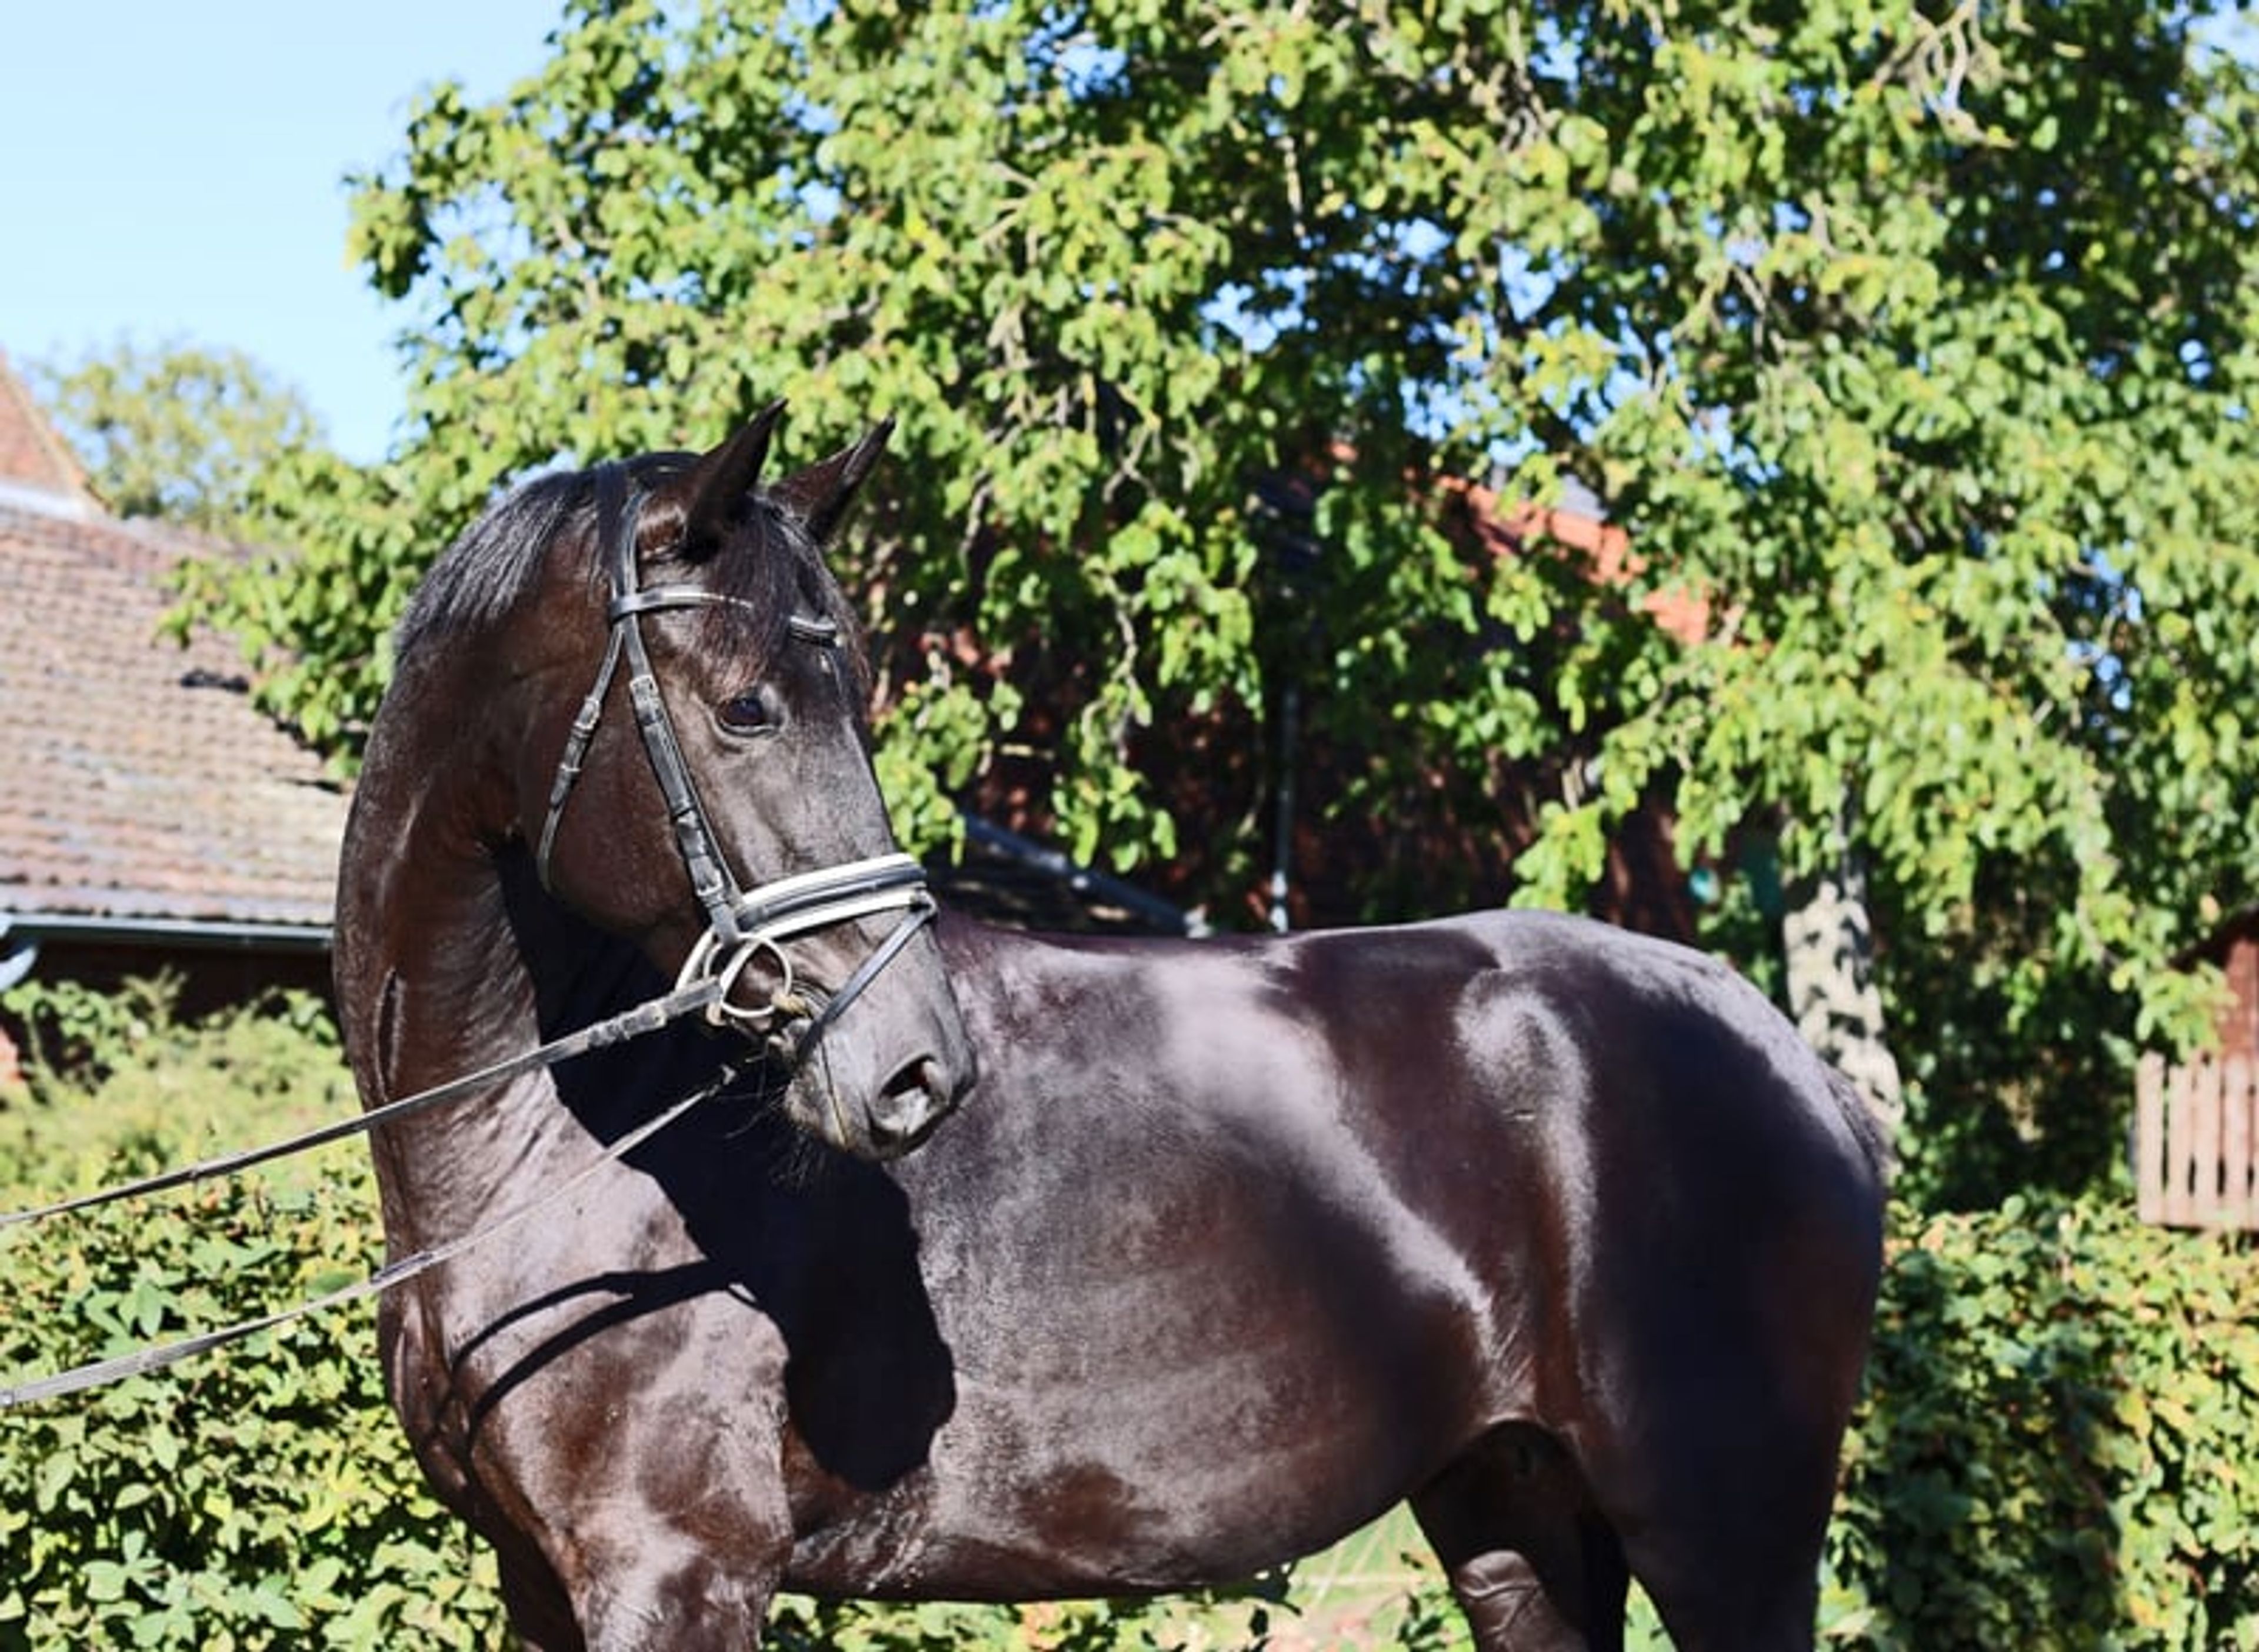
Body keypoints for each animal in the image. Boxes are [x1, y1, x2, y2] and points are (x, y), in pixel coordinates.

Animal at [333, 407, 1891, 1652]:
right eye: (750, 707)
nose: (915, 1066)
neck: (553, 1153)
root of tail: (1792, 1064)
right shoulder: (544, 1581)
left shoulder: (675, 1573)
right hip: (1513, 1513)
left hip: (1724, 1538)